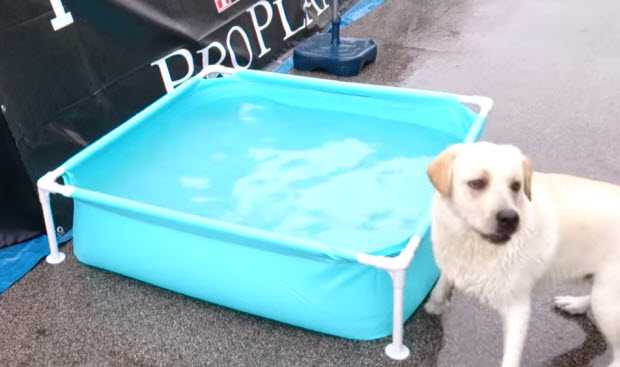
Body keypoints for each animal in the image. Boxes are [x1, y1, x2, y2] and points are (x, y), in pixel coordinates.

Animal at [424, 142, 620, 367]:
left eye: (516, 185)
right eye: (477, 183)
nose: (510, 218)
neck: (473, 244)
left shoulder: (518, 307)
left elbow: (510, 357)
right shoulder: (452, 262)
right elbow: (440, 287)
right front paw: (435, 305)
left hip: (607, 299)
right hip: (603, 292)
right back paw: (575, 304)